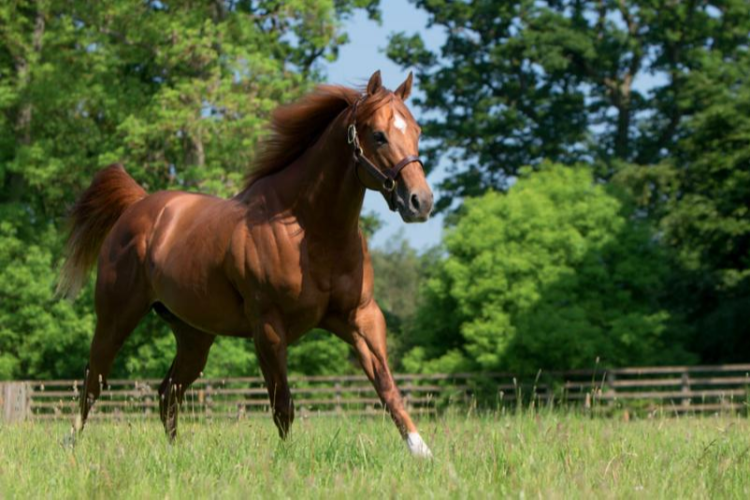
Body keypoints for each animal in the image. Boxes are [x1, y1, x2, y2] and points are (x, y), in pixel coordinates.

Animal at [60, 70, 434, 458]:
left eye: (417, 131)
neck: (309, 230)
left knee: (167, 392)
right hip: (116, 318)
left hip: (194, 335)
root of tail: (138, 204)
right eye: (378, 134)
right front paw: (286, 459)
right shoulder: (268, 327)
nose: (420, 201)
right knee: (94, 381)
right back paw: (69, 443)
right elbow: (283, 405)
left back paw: (175, 453)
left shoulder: (361, 317)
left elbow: (388, 388)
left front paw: (421, 451)